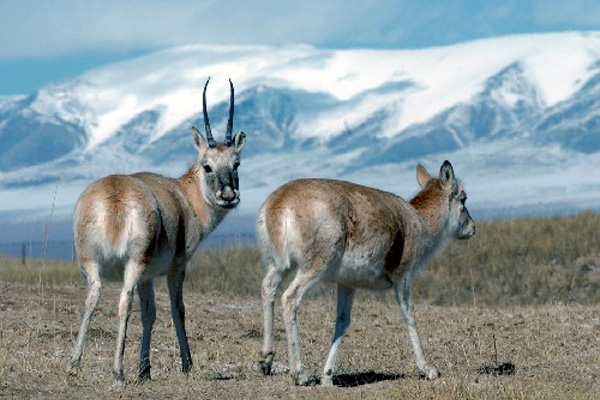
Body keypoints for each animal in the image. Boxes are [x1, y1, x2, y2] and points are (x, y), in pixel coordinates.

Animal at [64, 77, 245, 382]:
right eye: (207, 165)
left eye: (236, 163)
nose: (228, 196)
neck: (185, 197)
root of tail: (114, 194)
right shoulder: (176, 268)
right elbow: (177, 309)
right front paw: (186, 365)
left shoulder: (147, 277)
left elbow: (149, 313)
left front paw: (145, 369)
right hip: (133, 264)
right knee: (124, 302)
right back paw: (117, 370)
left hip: (90, 263)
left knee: (92, 297)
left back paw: (74, 363)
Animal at [255, 161, 476, 386]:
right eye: (463, 198)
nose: (472, 228)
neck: (418, 222)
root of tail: (278, 202)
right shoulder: (402, 279)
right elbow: (409, 317)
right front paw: (428, 369)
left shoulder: (347, 285)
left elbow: (342, 322)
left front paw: (327, 377)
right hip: (313, 268)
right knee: (290, 297)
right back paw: (299, 374)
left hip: (281, 266)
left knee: (267, 288)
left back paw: (266, 360)